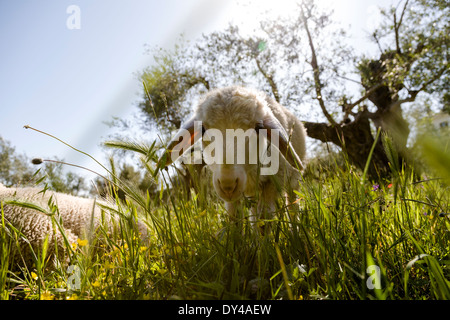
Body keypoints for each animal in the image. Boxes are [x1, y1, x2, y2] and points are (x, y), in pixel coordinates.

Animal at [156, 86, 308, 229]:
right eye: (203, 129)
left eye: (258, 127)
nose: (227, 185)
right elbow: (235, 220)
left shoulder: (273, 183)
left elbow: (264, 221)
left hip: (293, 180)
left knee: (292, 206)